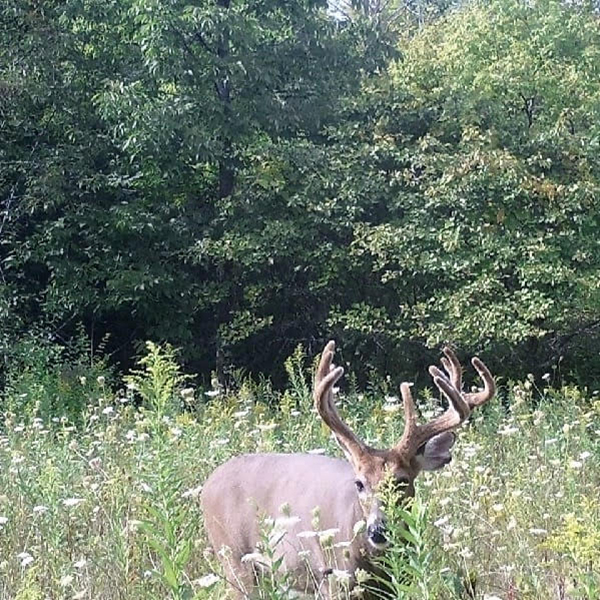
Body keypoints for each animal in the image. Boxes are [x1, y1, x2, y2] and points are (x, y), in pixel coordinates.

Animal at [203, 340, 496, 596]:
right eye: (359, 483)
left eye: (401, 481)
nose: (378, 530)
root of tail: (207, 484)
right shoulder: (332, 579)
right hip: (234, 558)